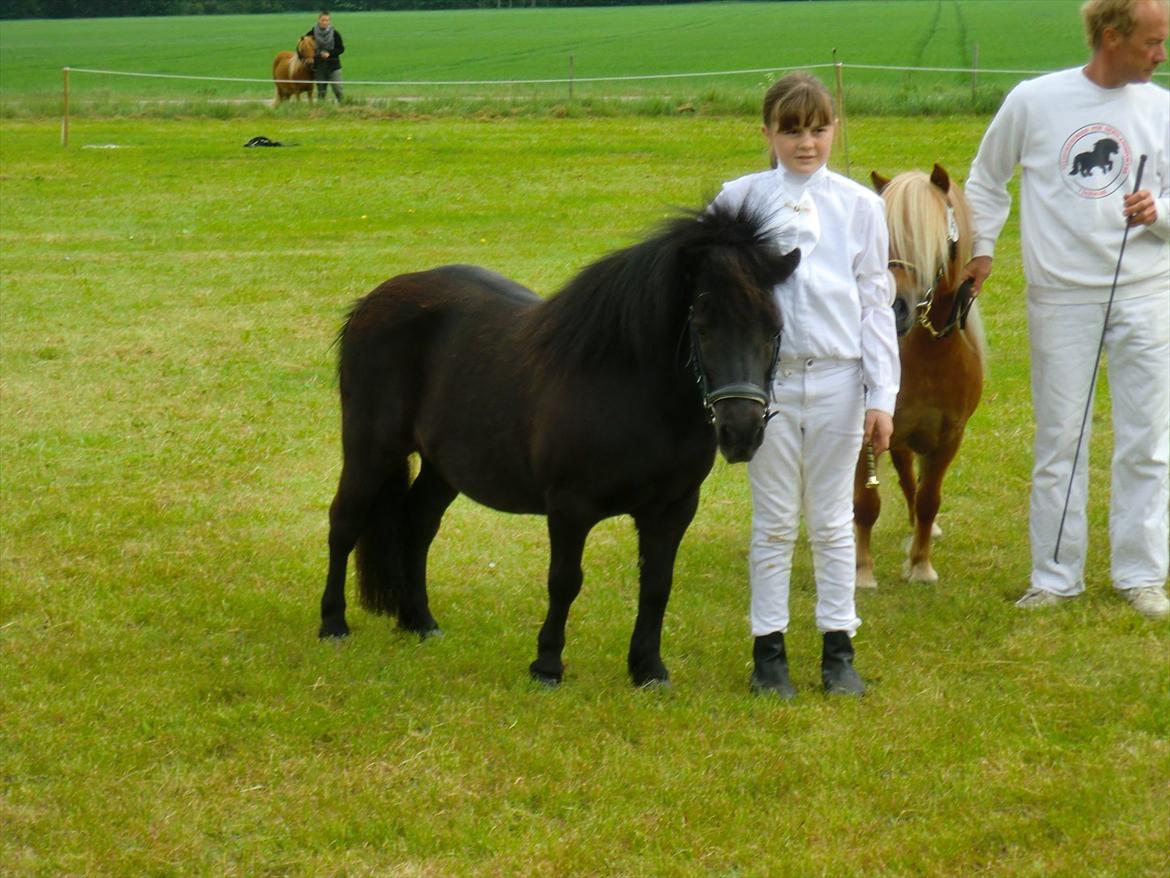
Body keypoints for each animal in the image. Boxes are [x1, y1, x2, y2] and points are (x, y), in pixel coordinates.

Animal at [315, 204, 800, 688]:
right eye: (701, 327)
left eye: (774, 329)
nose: (741, 432)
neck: (634, 390)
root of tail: (372, 302)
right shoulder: (570, 506)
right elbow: (565, 580)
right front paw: (547, 664)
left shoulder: (673, 508)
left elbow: (657, 583)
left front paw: (648, 668)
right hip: (370, 450)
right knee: (344, 522)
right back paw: (333, 623)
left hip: (443, 465)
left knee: (417, 526)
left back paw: (420, 621)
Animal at [856, 165, 982, 592]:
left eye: (934, 240)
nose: (895, 307)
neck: (928, 356)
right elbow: (866, 503)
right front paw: (863, 572)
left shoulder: (948, 437)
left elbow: (929, 499)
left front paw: (921, 564)